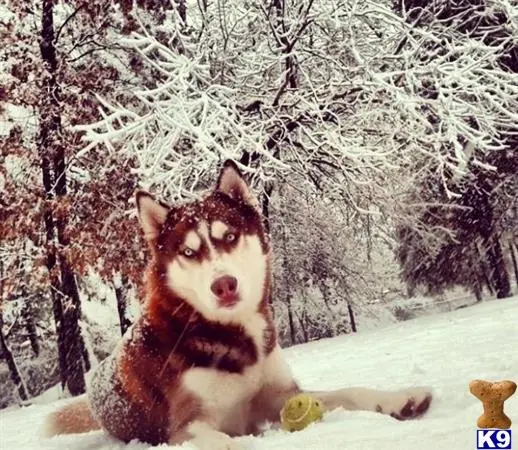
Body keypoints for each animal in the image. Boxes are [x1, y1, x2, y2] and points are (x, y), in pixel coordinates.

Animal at [44, 160, 432, 448]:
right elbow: (229, 443)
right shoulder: (185, 428)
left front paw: (400, 398)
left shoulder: (277, 396)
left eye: (229, 236)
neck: (231, 336)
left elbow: (349, 392)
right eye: (188, 252)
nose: (224, 285)